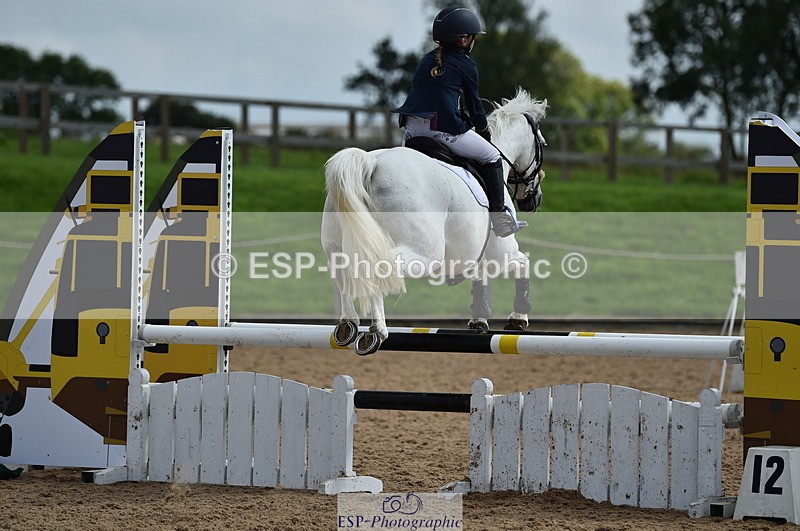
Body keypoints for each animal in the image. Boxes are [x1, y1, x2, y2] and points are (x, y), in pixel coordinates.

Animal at [321, 88, 547, 355]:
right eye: (542, 144)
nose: (533, 200)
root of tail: (372, 163)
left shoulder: (471, 254)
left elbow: (480, 277)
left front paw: (479, 319)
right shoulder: (501, 252)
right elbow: (524, 263)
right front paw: (519, 317)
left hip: (337, 246)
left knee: (345, 271)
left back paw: (348, 325)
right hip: (424, 254)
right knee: (376, 268)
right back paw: (377, 331)